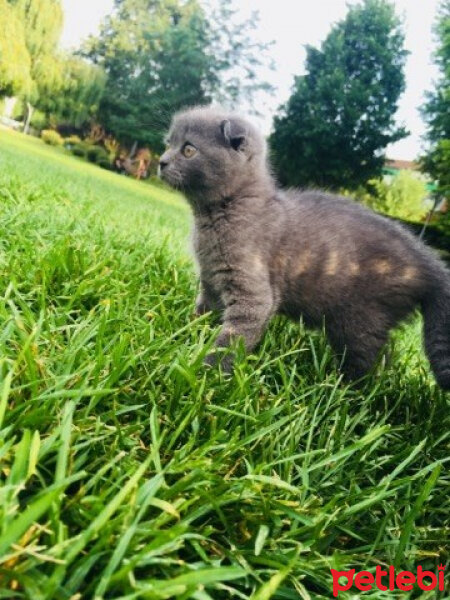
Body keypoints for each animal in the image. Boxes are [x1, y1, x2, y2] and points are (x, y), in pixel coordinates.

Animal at [158, 106, 450, 390]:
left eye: (188, 149)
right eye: (168, 143)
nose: (161, 161)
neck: (217, 215)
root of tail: (430, 263)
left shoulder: (251, 290)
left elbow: (233, 338)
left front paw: (207, 374)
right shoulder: (210, 281)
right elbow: (203, 312)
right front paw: (188, 334)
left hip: (359, 318)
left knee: (368, 361)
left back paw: (342, 391)